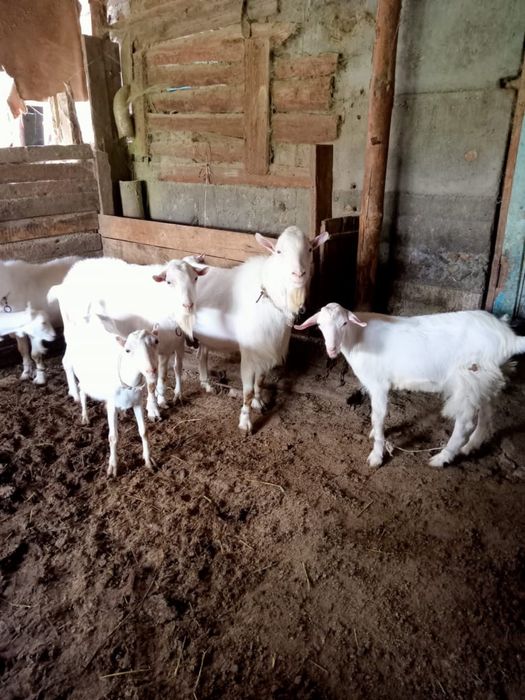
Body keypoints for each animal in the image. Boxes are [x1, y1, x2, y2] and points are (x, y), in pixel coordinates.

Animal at [48, 256, 208, 420]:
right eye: (169, 282)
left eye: (195, 278)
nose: (188, 305)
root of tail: (64, 282)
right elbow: (151, 383)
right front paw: (153, 410)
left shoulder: (166, 347)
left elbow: (164, 375)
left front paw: (163, 400)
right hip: (71, 332)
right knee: (67, 361)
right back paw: (75, 394)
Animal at [61, 311, 160, 477]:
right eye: (127, 350)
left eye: (156, 341)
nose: (151, 370)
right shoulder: (112, 405)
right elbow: (113, 437)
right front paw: (113, 467)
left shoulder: (137, 402)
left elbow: (144, 431)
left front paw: (149, 460)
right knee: (81, 389)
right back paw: (85, 415)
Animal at [193, 226, 329, 433]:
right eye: (279, 251)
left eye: (309, 249)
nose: (298, 274)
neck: (269, 295)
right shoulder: (250, 352)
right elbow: (248, 391)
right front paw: (245, 423)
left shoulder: (266, 348)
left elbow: (260, 381)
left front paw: (259, 403)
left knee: (202, 354)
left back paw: (206, 384)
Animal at [295, 303, 525, 468]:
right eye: (320, 326)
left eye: (344, 323)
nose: (332, 349)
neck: (357, 337)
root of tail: (510, 339)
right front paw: (375, 435)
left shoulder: (379, 384)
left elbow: (378, 416)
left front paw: (376, 456)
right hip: (486, 379)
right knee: (487, 414)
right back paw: (471, 445)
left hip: (469, 378)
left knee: (465, 423)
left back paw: (442, 458)